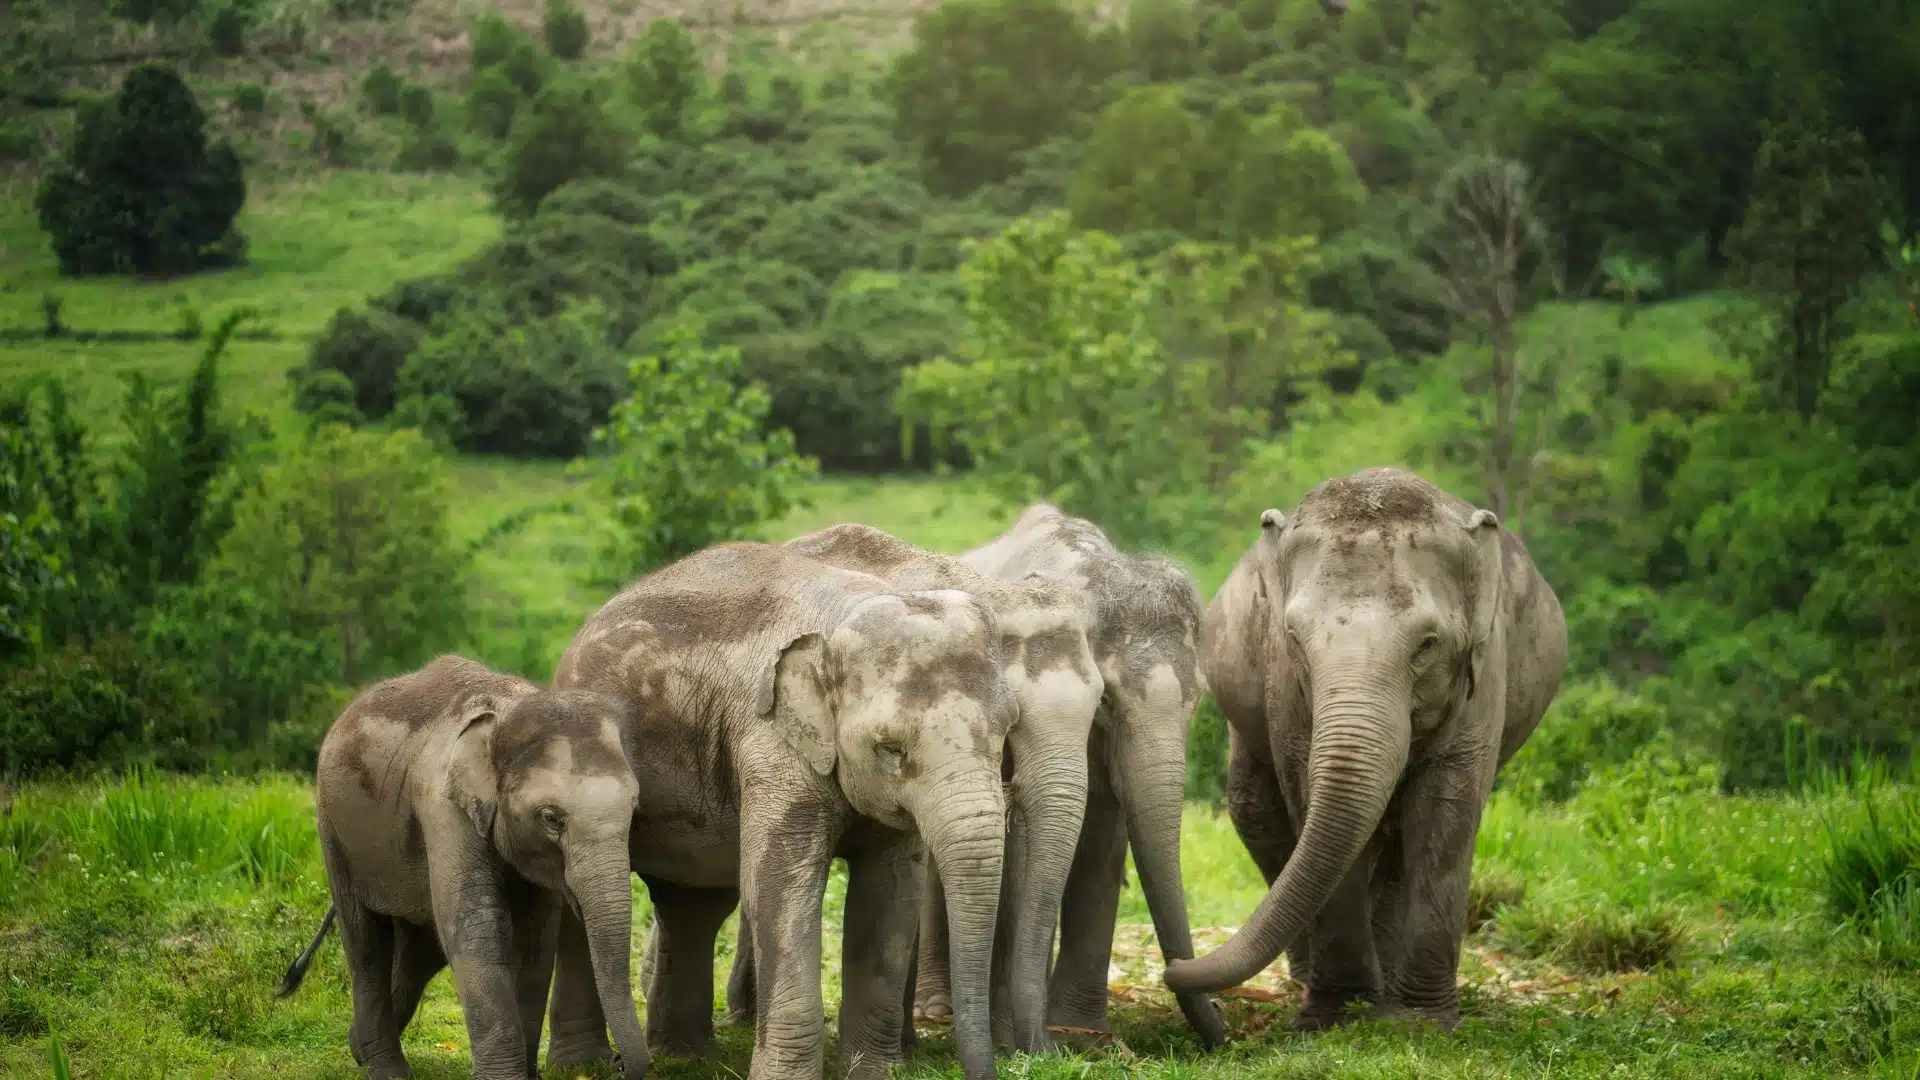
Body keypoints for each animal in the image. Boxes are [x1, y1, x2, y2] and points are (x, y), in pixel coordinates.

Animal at [277, 655, 646, 1080]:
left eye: (634, 808)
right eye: (551, 818)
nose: (617, 1063)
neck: (508, 711)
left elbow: (537, 938)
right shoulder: (443, 807)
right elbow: (478, 927)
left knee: (420, 949)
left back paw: (358, 1047)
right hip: (334, 830)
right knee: (366, 941)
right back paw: (387, 1069)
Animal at [541, 541, 1015, 1080]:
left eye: (1007, 728)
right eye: (890, 748)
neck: (843, 613)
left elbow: (891, 892)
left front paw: (871, 1073)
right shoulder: (769, 738)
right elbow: (777, 885)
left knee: (691, 904)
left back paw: (682, 1056)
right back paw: (584, 1066)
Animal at [932, 504, 1228, 1050]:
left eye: (1199, 696)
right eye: (1106, 701)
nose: (1225, 1036)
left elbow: (1102, 837)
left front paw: (1085, 1035)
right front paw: (1022, 1038)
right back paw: (939, 1009)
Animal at [1162, 467, 1568, 1031]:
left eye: (1428, 644)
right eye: (1293, 636)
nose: (1173, 969)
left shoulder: (1486, 671)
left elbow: (1446, 808)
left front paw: (1421, 1022)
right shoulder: (1282, 679)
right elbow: (1305, 788)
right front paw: (1336, 1015)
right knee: (1257, 812)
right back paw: (1310, 981)